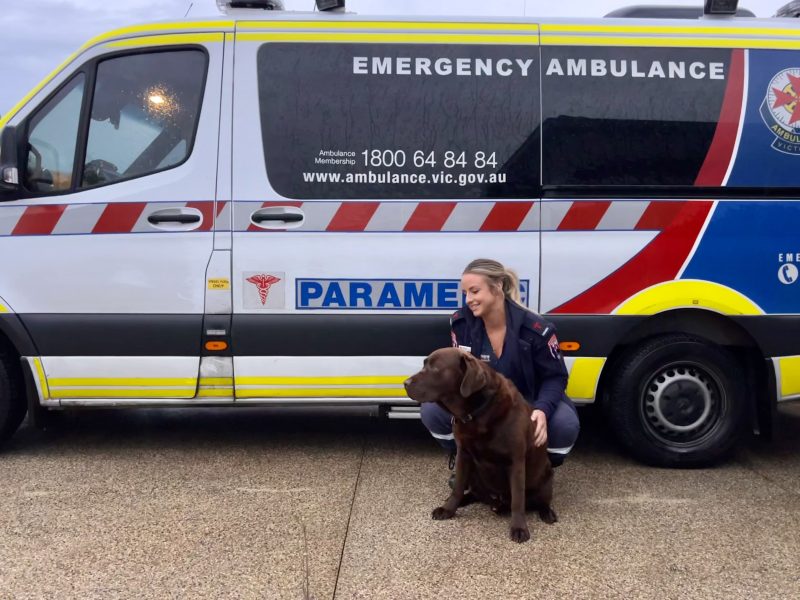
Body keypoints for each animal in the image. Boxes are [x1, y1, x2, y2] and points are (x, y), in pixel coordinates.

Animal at [406, 346, 556, 544]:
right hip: (475, 475)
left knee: (541, 501)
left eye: (436, 369)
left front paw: (519, 528)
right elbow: (458, 487)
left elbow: (518, 499)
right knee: (471, 493)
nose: (405, 383)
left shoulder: (516, 461)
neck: (477, 413)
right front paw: (448, 509)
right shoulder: (463, 454)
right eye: (424, 364)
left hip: (546, 476)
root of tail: (497, 502)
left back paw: (547, 513)